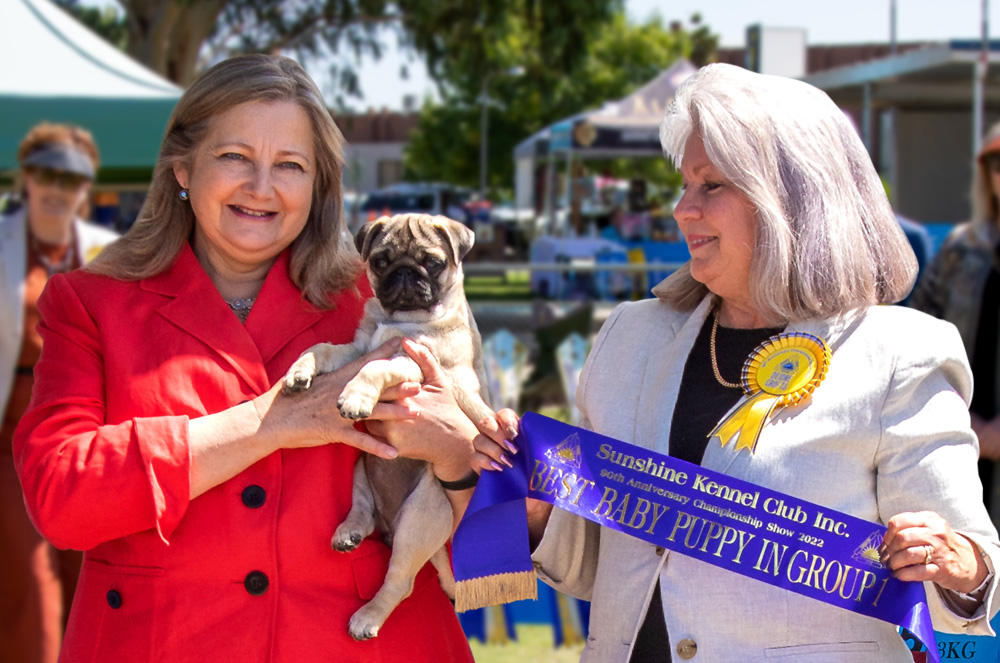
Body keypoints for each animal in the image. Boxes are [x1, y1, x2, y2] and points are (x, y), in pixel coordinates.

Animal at [282, 215, 492, 640]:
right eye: (381, 261)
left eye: (432, 262)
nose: (405, 274)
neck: (398, 320)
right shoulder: (356, 349)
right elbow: (321, 348)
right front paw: (298, 373)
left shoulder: (411, 362)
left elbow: (375, 368)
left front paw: (356, 397)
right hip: (362, 469)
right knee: (364, 510)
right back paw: (349, 531)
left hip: (420, 515)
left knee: (400, 582)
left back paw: (369, 616)